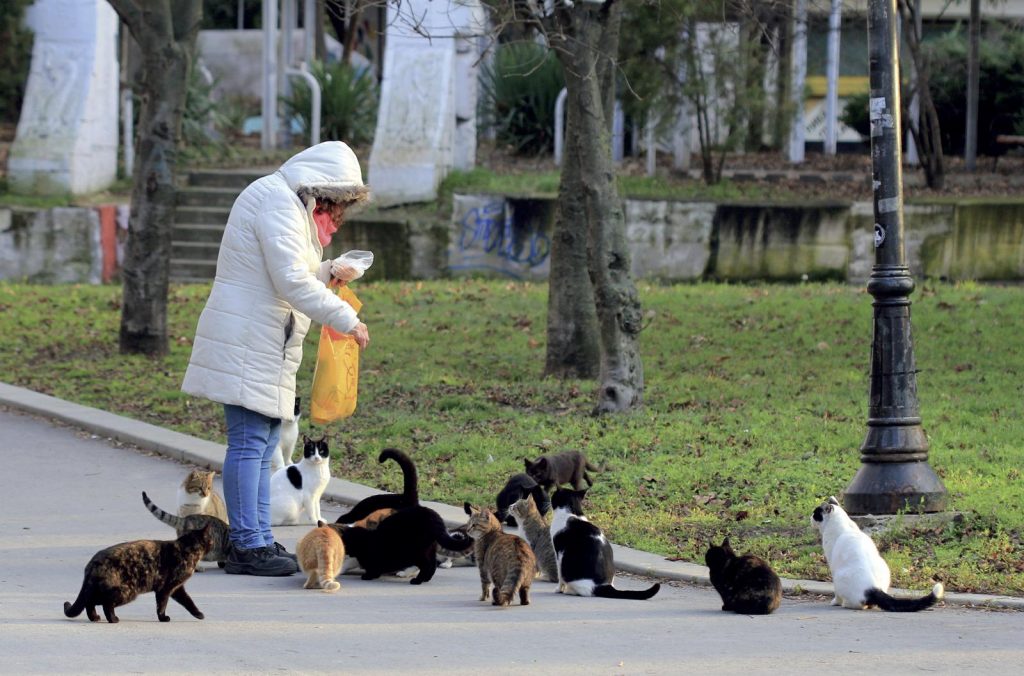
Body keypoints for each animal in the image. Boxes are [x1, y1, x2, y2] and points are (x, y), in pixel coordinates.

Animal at [62, 522, 214, 622]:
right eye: (211, 539)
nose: (214, 543)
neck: (186, 549)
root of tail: (92, 563)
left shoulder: (177, 588)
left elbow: (188, 601)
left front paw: (198, 614)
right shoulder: (165, 588)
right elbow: (162, 605)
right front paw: (163, 618)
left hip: (104, 590)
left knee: (90, 602)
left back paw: (94, 617)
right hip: (127, 591)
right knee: (105, 603)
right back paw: (112, 619)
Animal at [339, 508, 475, 585]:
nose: (346, 552)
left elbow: (371, 567)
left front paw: (368, 576)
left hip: (416, 551)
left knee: (426, 565)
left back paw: (415, 579)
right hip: (427, 549)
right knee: (431, 564)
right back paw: (424, 578)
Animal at [806, 495, 942, 614]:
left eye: (815, 513)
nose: (810, 517)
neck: (843, 525)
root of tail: (873, 588)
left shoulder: (832, 565)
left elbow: (836, 594)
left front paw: (835, 602)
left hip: (839, 576)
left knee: (857, 604)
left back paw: (845, 604)